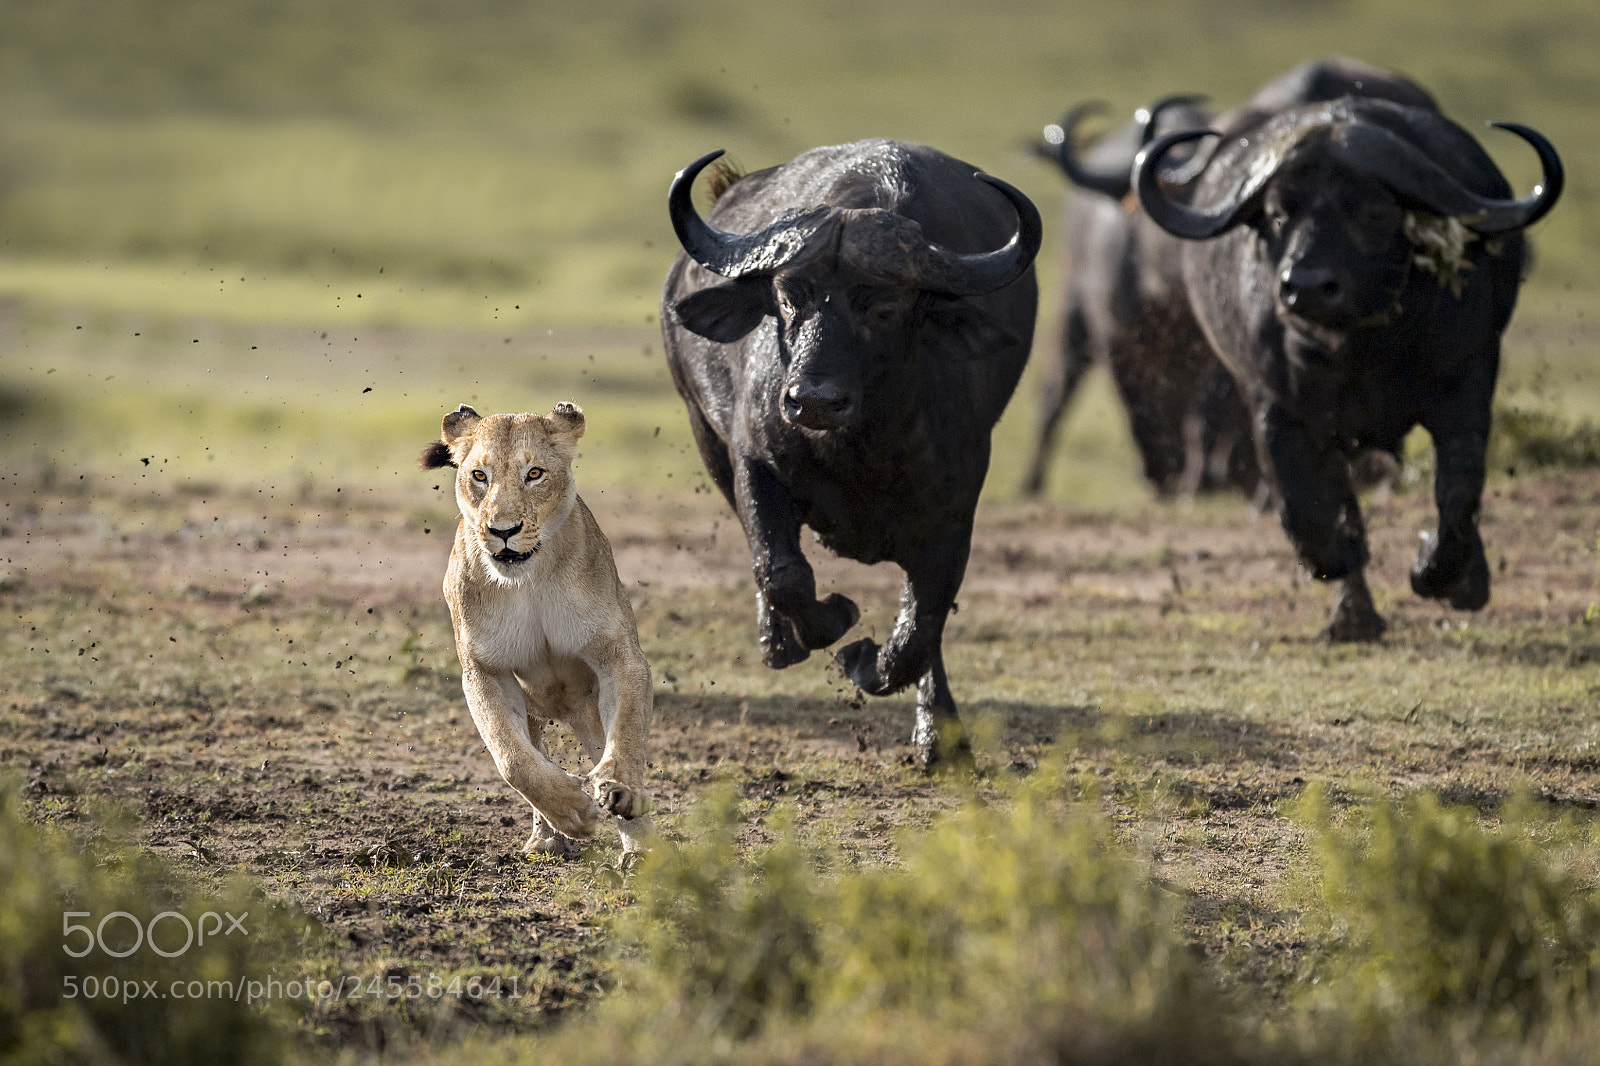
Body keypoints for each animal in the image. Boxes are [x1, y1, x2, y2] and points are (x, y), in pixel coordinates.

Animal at [419, 401, 652, 857]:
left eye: (535, 473)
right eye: (480, 475)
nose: (503, 531)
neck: (529, 578)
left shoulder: (619, 654)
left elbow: (628, 728)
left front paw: (619, 789)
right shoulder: (485, 671)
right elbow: (513, 758)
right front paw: (573, 811)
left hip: (588, 708)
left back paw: (640, 849)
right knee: (534, 750)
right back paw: (546, 838)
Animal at [659, 139, 1042, 767]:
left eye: (883, 306)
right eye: (789, 296)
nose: (813, 400)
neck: (857, 451)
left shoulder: (954, 514)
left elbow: (921, 625)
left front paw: (877, 672)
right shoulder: (753, 465)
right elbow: (783, 573)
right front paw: (830, 620)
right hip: (706, 438)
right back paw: (778, 640)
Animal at [1134, 91, 1562, 640]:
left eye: (1374, 211)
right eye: (1278, 213)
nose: (1306, 286)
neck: (1361, 351)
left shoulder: (1466, 387)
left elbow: (1459, 490)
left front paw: (1443, 574)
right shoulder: (1278, 411)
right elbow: (1307, 510)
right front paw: (1344, 560)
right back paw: (1354, 614)